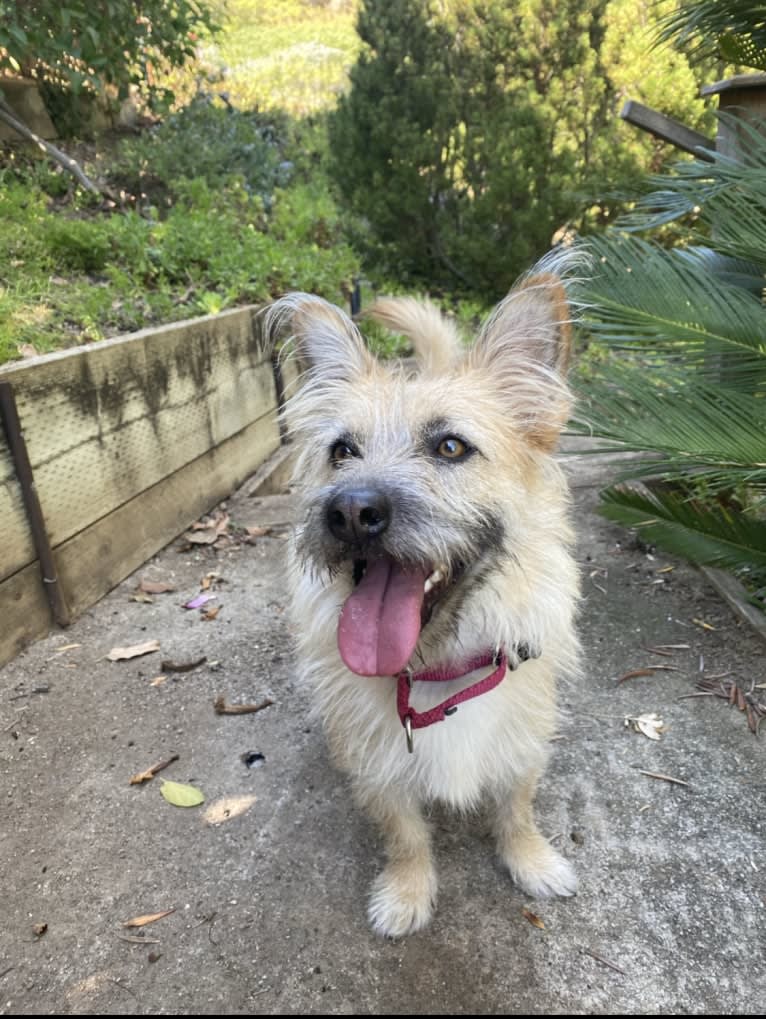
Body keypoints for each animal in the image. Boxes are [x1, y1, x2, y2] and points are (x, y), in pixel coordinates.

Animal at [266, 271, 578, 937]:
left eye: (451, 447)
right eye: (341, 451)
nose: (349, 510)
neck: (437, 671)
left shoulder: (523, 743)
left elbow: (517, 809)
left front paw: (533, 862)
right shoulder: (379, 769)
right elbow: (405, 833)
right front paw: (407, 893)